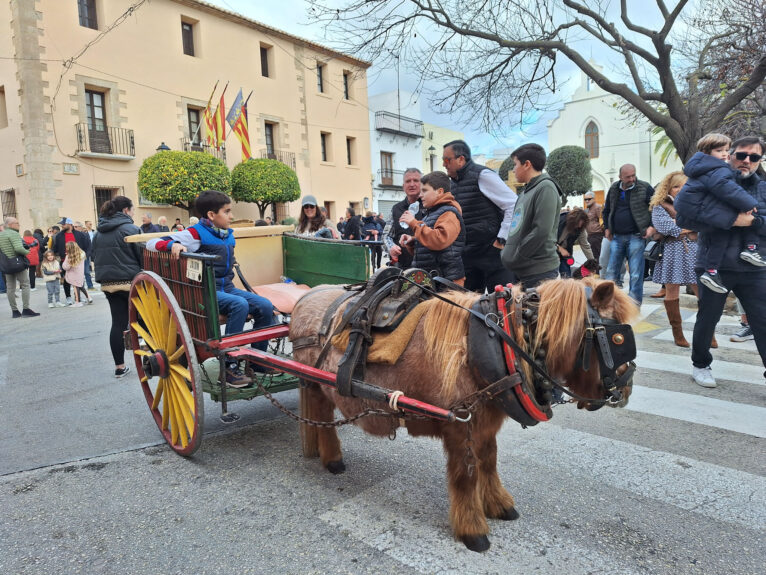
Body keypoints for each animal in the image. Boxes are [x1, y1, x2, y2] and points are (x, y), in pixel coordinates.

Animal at [292, 280, 640, 552]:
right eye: (618, 338)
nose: (625, 390)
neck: (494, 344)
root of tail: (305, 297)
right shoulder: (460, 427)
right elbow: (466, 476)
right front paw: (472, 529)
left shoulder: (485, 425)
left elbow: (489, 462)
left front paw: (499, 503)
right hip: (314, 382)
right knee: (322, 413)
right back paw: (332, 458)